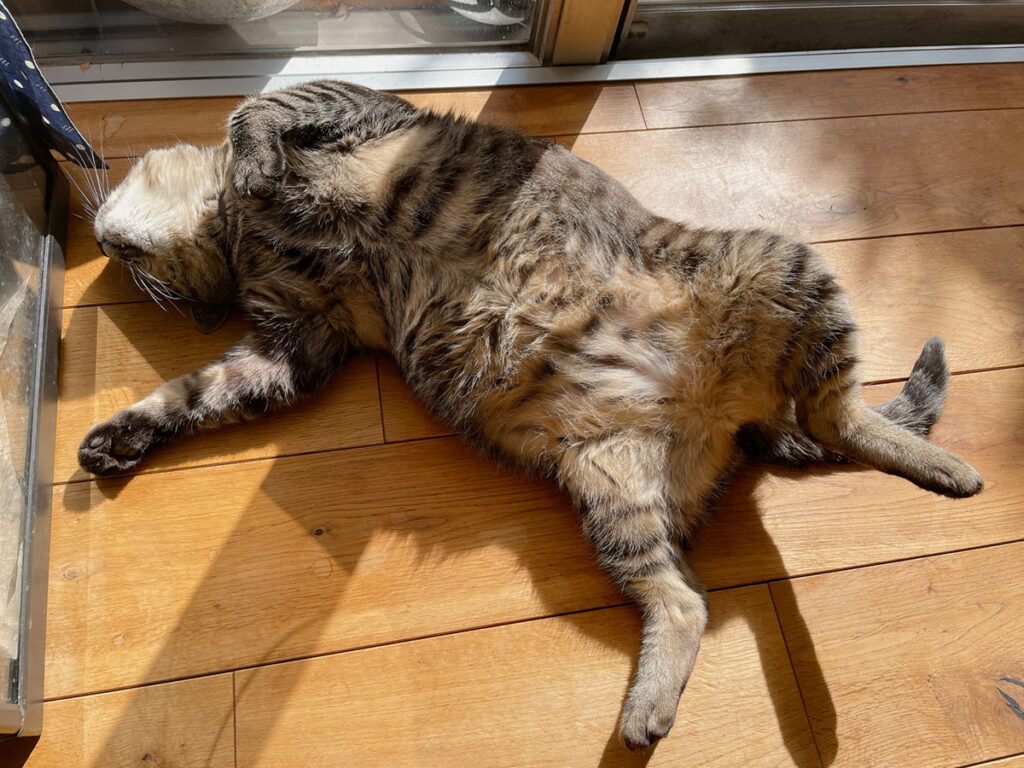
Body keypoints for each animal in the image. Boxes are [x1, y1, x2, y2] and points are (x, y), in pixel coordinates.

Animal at [81, 81, 983, 749]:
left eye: (126, 257)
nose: (102, 240)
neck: (243, 239)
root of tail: (737, 409)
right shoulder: (291, 343)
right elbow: (194, 396)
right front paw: (121, 439)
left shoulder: (353, 106)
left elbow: (256, 110)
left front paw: (255, 160)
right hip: (613, 493)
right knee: (685, 599)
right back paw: (646, 713)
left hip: (785, 266)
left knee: (847, 420)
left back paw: (950, 472)